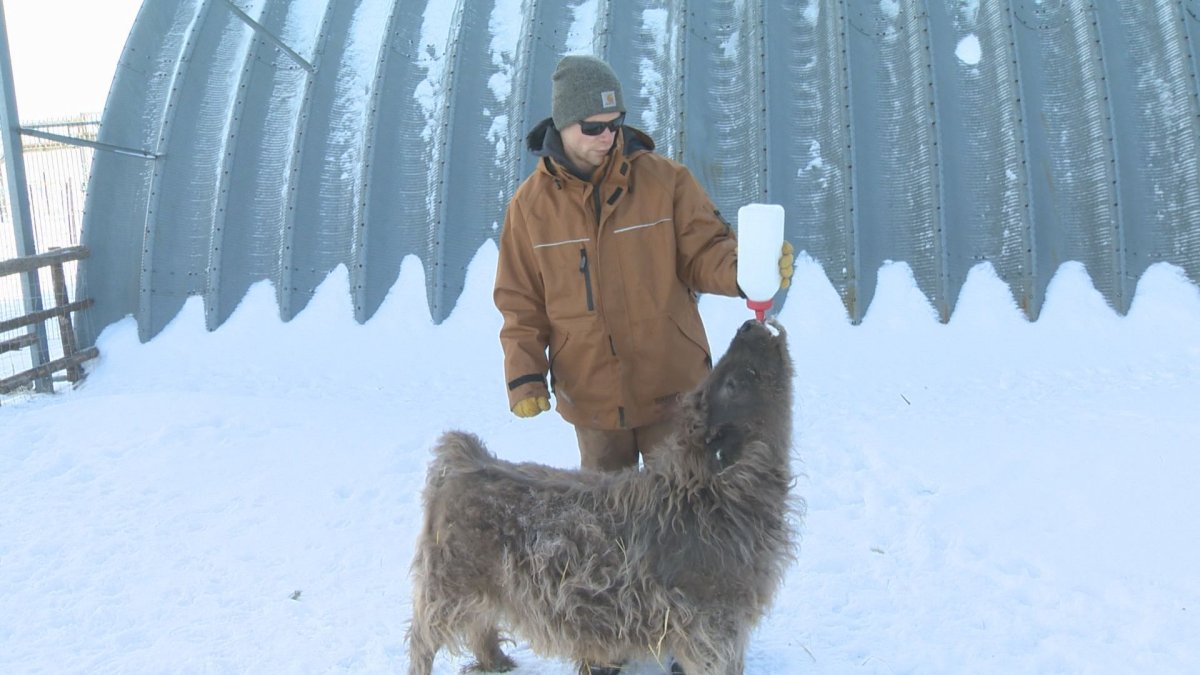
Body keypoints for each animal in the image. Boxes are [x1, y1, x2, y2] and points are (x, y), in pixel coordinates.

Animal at [408, 317, 801, 672]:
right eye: (733, 380)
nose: (749, 324)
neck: (713, 497)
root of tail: (465, 458)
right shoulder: (710, 627)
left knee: (481, 625)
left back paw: (496, 662)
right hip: (446, 588)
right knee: (422, 640)